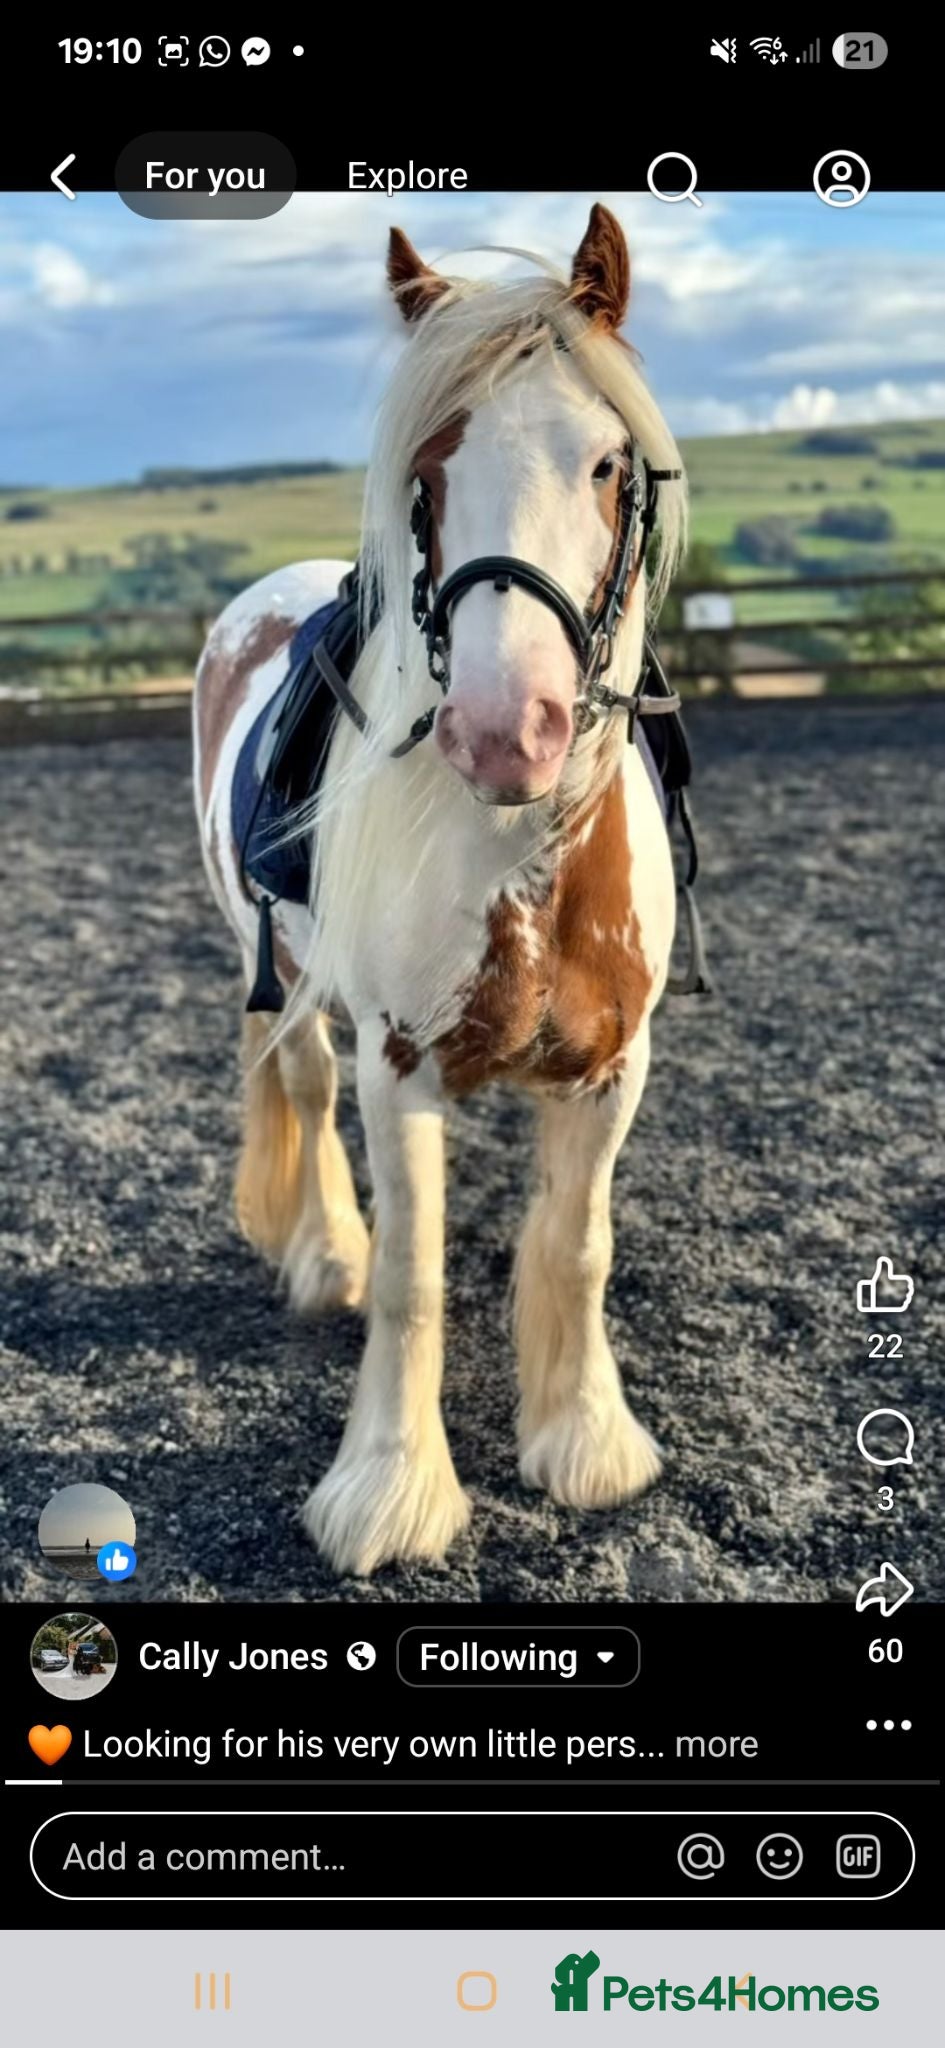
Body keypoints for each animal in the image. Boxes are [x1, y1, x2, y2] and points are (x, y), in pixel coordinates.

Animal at [193, 203, 688, 1577]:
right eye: (425, 475)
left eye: (607, 464)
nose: (504, 729)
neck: (521, 856)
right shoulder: (399, 1060)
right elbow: (416, 1274)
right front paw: (392, 1491)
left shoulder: (611, 1068)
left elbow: (576, 1244)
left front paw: (584, 1441)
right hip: (285, 971)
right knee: (304, 1087)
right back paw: (327, 1258)